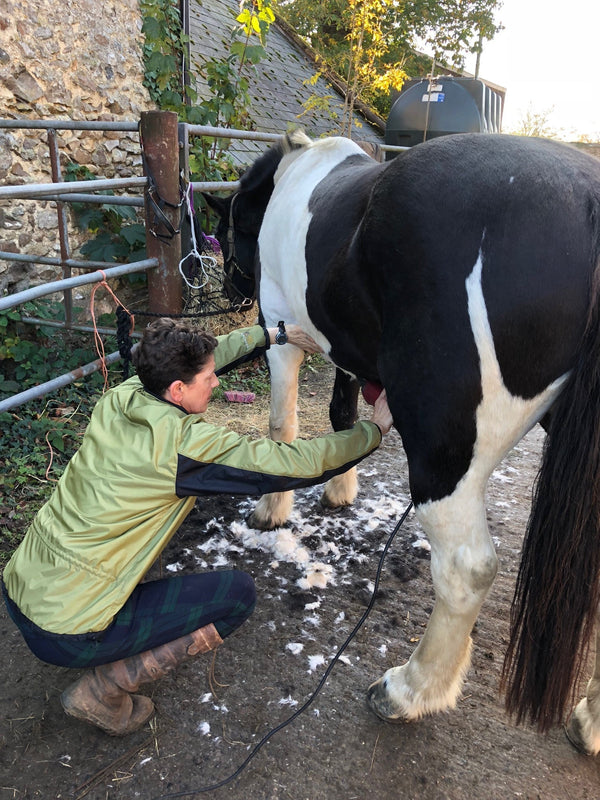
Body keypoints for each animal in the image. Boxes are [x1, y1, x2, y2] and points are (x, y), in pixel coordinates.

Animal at [204, 130, 600, 752]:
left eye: (227, 233)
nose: (230, 289)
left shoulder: (283, 337)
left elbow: (281, 425)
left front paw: (273, 508)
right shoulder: (345, 350)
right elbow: (342, 415)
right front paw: (340, 489)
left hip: (444, 456)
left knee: (466, 568)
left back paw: (410, 690)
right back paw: (590, 719)